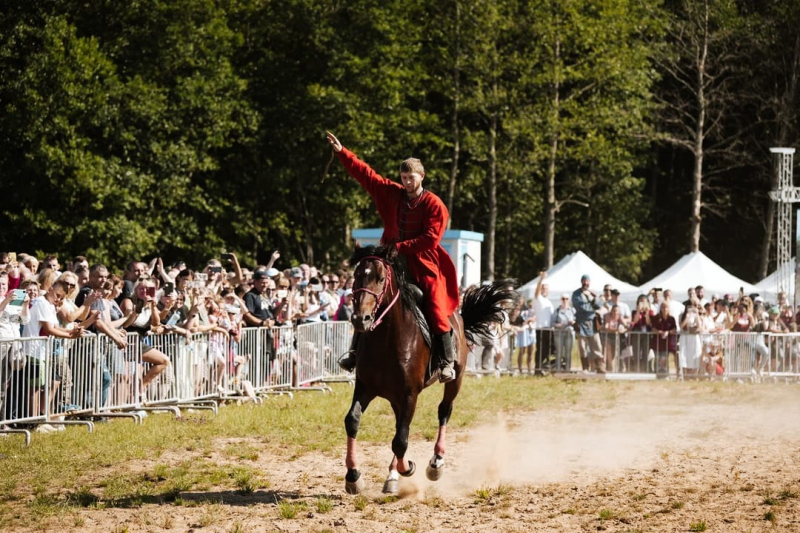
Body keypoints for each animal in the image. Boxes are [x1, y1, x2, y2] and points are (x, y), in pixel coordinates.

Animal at [346, 243, 520, 492]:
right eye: (356, 276)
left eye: (380, 278)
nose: (361, 319)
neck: (385, 340)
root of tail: (459, 316)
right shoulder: (364, 387)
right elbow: (353, 421)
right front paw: (353, 476)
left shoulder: (410, 394)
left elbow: (400, 441)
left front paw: (407, 468)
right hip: (395, 397)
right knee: (400, 424)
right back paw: (393, 475)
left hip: (455, 380)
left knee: (443, 411)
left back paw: (435, 463)